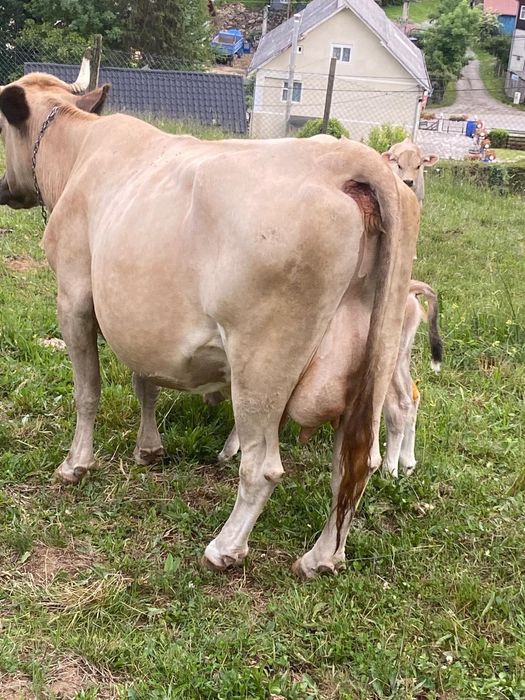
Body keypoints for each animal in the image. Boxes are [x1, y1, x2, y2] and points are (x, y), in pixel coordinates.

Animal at [0, 61, 420, 579]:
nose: (3, 189)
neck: (79, 152)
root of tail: (350, 158)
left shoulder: (74, 297)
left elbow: (88, 391)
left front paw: (76, 464)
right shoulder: (144, 317)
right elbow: (146, 382)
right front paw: (149, 449)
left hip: (263, 362)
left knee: (263, 466)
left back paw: (226, 547)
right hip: (374, 362)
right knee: (353, 462)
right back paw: (321, 558)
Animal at [218, 280, 443, 479]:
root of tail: (412, 287)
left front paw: (229, 451)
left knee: (398, 406)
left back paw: (390, 469)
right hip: (400, 360)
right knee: (412, 396)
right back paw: (407, 463)